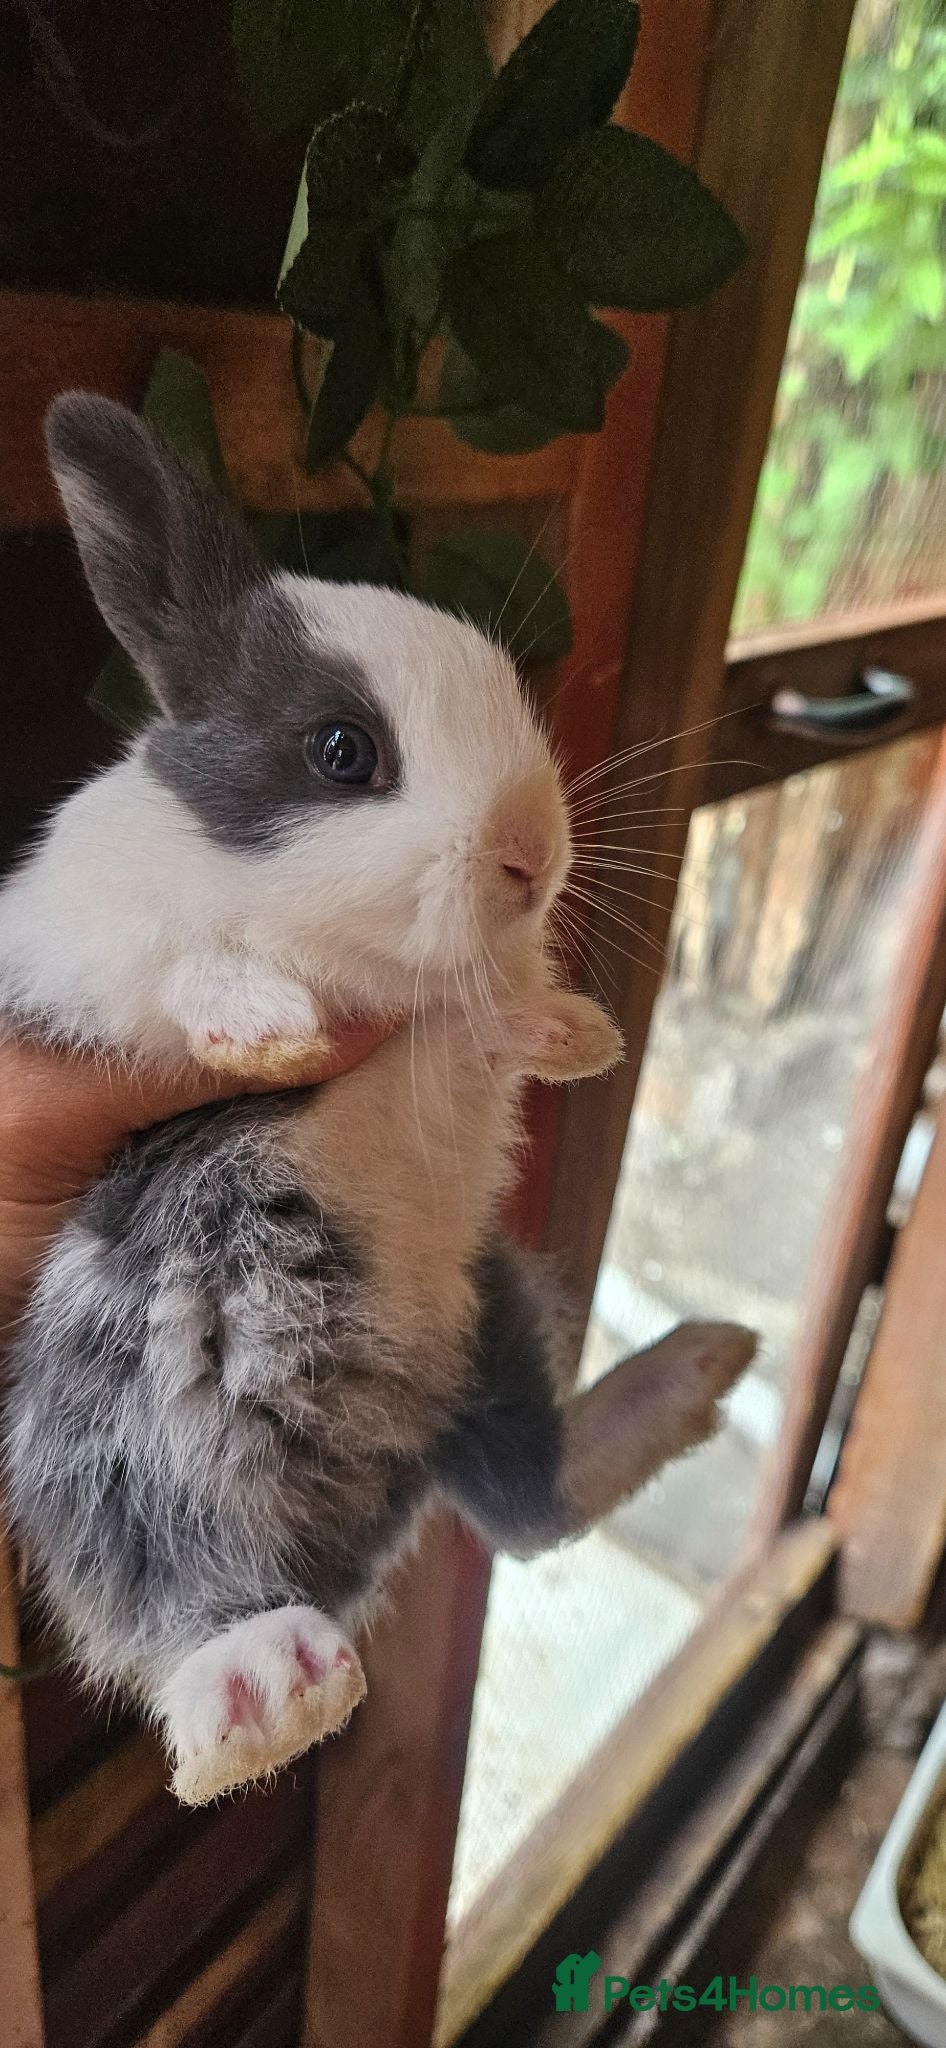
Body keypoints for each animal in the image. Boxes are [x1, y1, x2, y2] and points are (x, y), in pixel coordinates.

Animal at [0, 395, 755, 1804]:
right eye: (341, 752)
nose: (530, 857)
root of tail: (357, 1519)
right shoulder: (80, 957)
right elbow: (175, 971)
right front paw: (261, 1022)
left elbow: (487, 1019)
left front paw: (572, 1034)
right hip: (105, 1404)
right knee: (157, 1583)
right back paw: (257, 1690)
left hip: (484, 1304)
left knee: (528, 1498)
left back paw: (696, 1369)